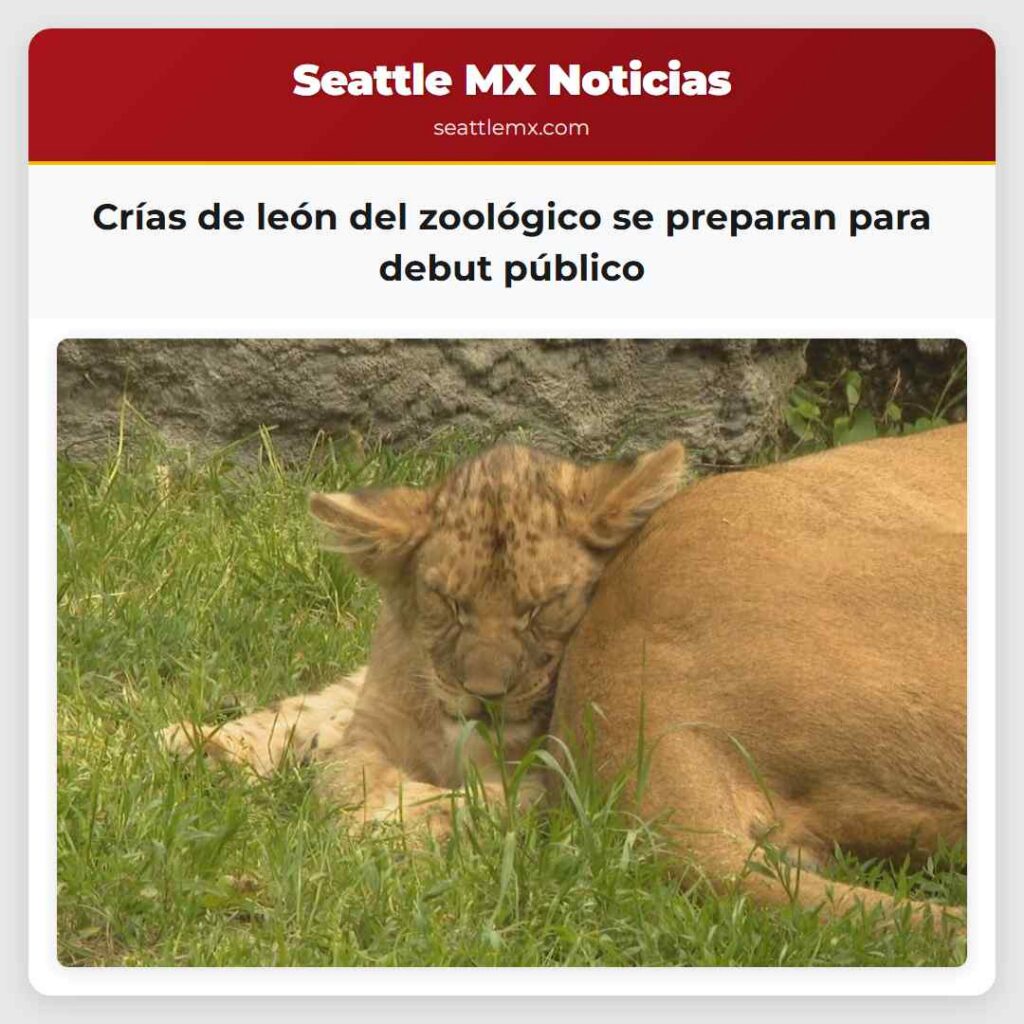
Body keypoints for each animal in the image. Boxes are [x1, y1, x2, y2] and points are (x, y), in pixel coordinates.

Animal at [162, 441, 687, 833]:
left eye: (539, 609)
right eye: (450, 603)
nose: (485, 696)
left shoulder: (554, 778)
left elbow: (479, 803)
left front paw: (393, 829)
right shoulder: (374, 726)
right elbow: (352, 775)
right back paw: (202, 746)